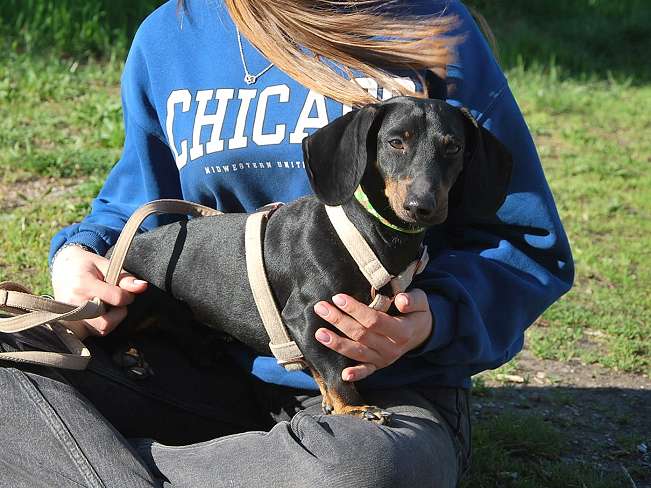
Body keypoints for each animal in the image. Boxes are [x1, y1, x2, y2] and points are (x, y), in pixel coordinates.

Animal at [113, 96, 513, 423]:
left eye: (454, 147)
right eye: (396, 142)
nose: (421, 207)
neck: (368, 233)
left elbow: (322, 366)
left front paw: (330, 401)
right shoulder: (307, 315)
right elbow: (336, 369)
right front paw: (353, 406)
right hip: (134, 295)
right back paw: (129, 353)